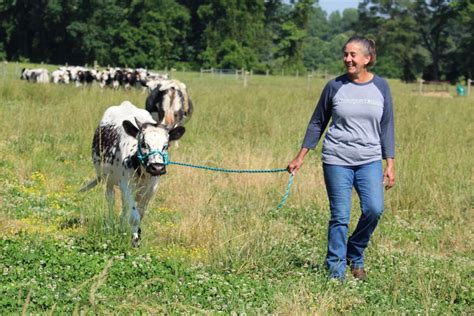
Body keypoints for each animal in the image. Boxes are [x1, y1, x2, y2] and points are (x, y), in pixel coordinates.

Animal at [81, 100, 185, 246]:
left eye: (166, 145)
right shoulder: (126, 185)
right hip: (108, 180)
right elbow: (135, 216)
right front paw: (135, 241)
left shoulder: (151, 189)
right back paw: (112, 223)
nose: (157, 167)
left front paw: (136, 234)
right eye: (144, 143)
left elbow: (140, 214)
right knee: (111, 199)